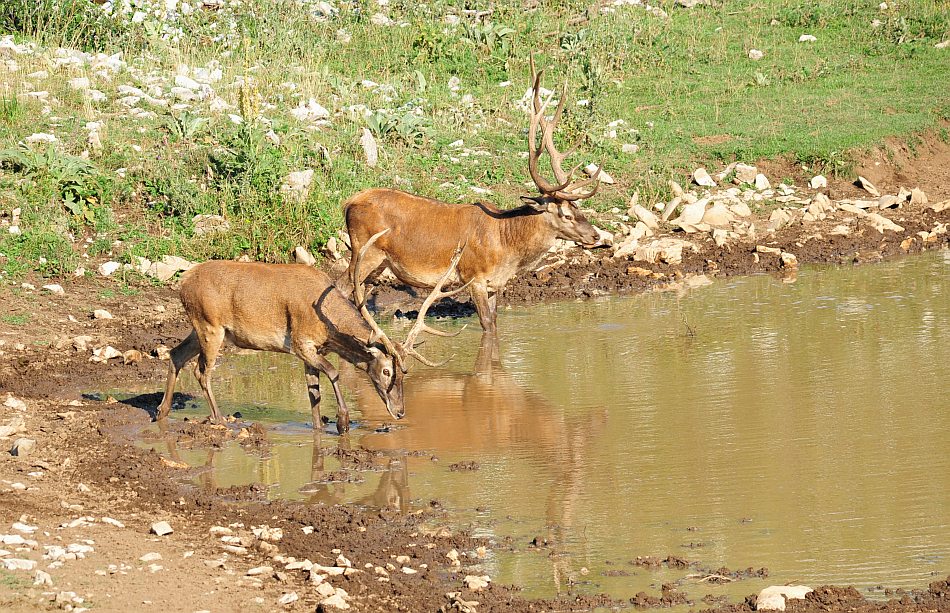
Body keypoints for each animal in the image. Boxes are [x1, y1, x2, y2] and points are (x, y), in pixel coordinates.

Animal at [156, 232, 468, 432]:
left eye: (404, 373)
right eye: (386, 371)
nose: (400, 411)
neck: (328, 325)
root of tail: (183, 284)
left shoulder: (312, 351)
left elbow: (313, 393)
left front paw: (321, 426)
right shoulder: (300, 342)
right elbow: (334, 372)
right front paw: (343, 421)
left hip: (198, 328)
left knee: (175, 354)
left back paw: (162, 411)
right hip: (211, 326)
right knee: (201, 371)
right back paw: (220, 419)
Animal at [342, 56, 608, 334]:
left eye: (579, 209)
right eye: (565, 214)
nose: (595, 235)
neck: (506, 246)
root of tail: (348, 203)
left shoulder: (494, 284)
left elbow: (495, 323)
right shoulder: (474, 276)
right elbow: (487, 325)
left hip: (376, 259)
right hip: (365, 250)